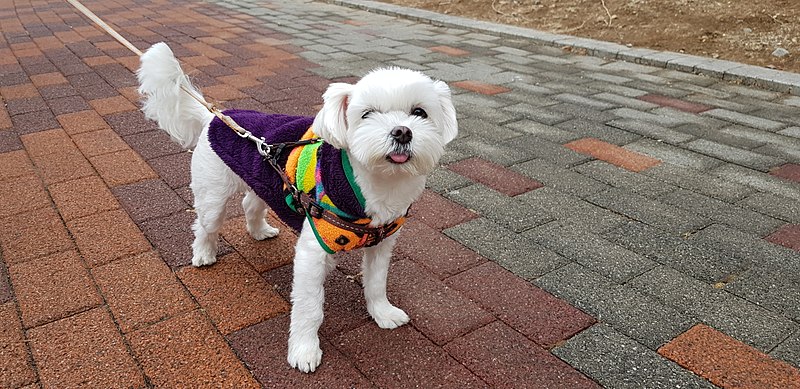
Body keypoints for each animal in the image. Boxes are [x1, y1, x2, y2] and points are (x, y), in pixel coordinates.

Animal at [137, 41, 456, 372]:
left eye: (419, 112)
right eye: (367, 114)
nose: (402, 131)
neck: (379, 185)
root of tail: (216, 116)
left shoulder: (382, 244)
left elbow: (377, 282)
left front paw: (383, 313)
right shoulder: (312, 251)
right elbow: (309, 306)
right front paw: (304, 350)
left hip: (265, 180)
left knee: (250, 203)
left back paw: (260, 231)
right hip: (213, 193)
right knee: (205, 224)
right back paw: (203, 254)